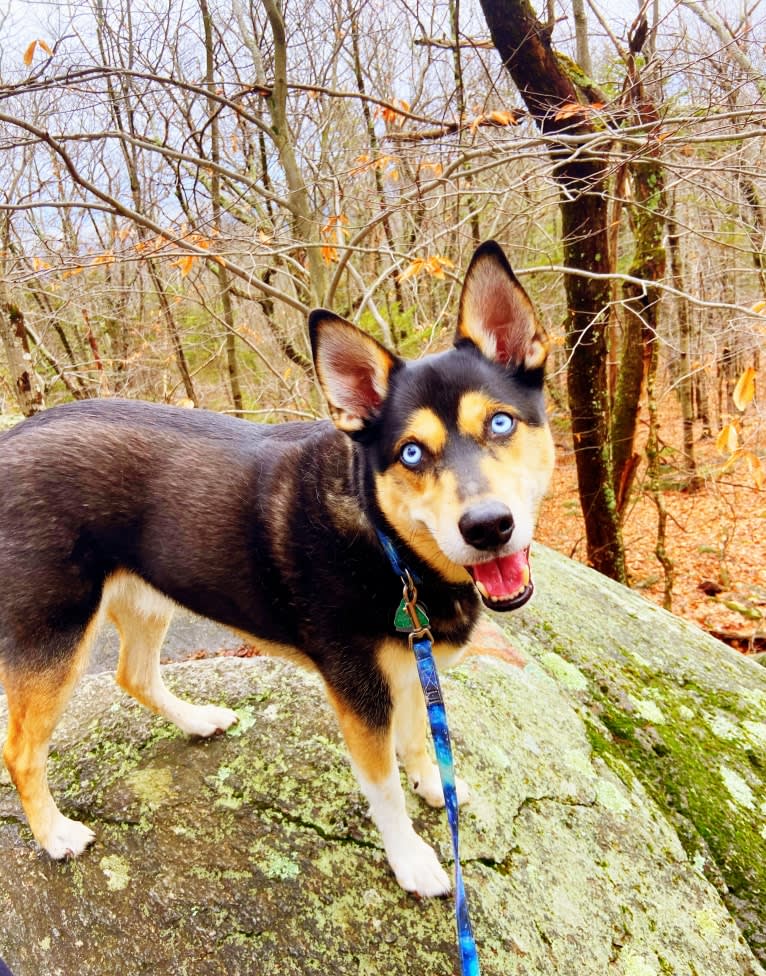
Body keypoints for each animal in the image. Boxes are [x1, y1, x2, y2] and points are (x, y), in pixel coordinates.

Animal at [0, 240, 556, 896]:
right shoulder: (361, 695)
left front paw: (432, 785)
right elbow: (385, 789)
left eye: (501, 422)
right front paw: (412, 859)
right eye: (411, 453)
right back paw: (54, 835)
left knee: (133, 675)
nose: (488, 526)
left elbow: (421, 739)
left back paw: (197, 721)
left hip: (145, 597)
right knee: (20, 752)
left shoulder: (410, 672)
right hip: (53, 635)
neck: (389, 545)